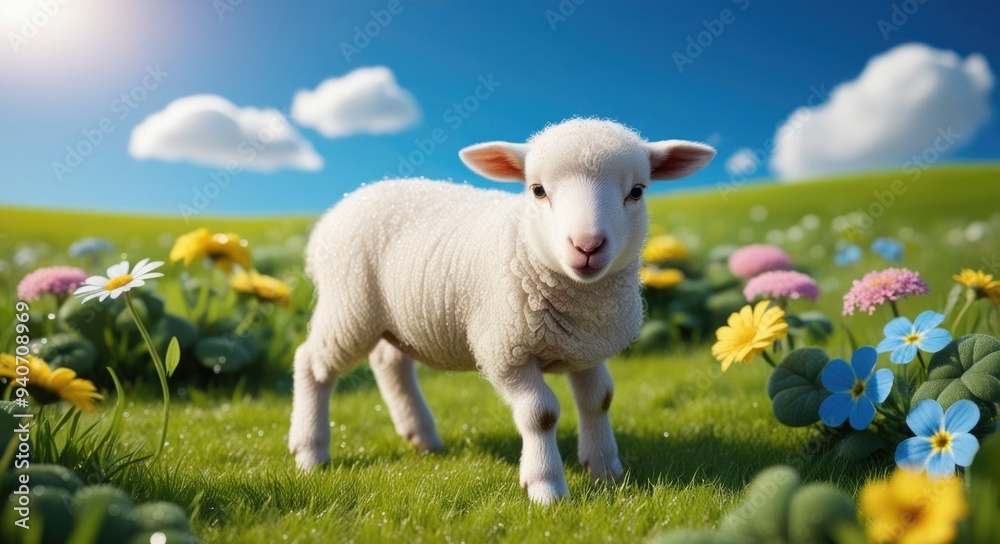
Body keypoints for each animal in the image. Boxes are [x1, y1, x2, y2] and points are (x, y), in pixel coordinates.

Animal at [289, 118, 715, 504]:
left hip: (392, 316)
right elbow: (541, 413)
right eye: (537, 190)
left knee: (388, 362)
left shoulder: (588, 346)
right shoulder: (506, 351)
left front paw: (605, 469)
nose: (587, 246)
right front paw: (546, 487)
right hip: (349, 306)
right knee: (312, 362)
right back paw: (310, 450)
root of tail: (337, 211)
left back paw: (422, 436)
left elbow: (600, 400)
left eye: (637, 191)